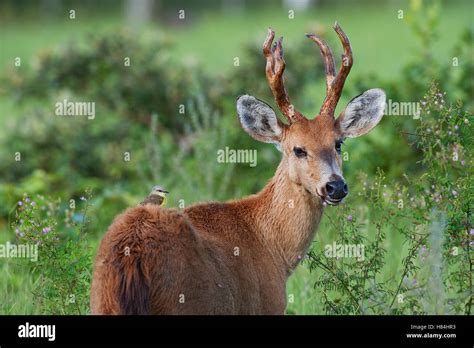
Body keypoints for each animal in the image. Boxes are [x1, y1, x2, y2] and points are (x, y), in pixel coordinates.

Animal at [91, 22, 386, 316]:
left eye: (338, 143)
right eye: (298, 149)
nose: (335, 186)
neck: (273, 247)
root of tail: (132, 252)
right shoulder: (267, 306)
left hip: (102, 300)